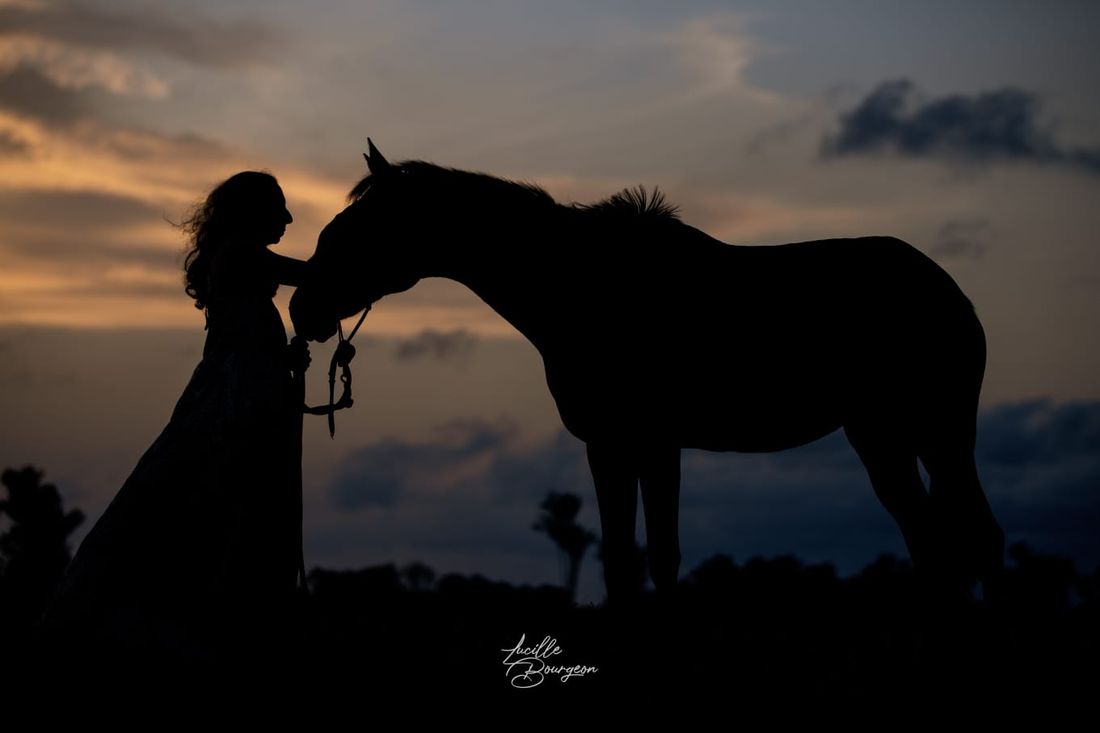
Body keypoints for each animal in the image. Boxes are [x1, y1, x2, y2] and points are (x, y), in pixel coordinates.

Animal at [290, 140, 1005, 601]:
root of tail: (950, 291)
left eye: (358, 226)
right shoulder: (608, 447)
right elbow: (619, 563)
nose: (302, 307)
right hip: (881, 437)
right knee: (935, 543)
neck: (591, 290)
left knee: (978, 540)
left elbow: (662, 556)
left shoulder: (657, 444)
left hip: (942, 435)